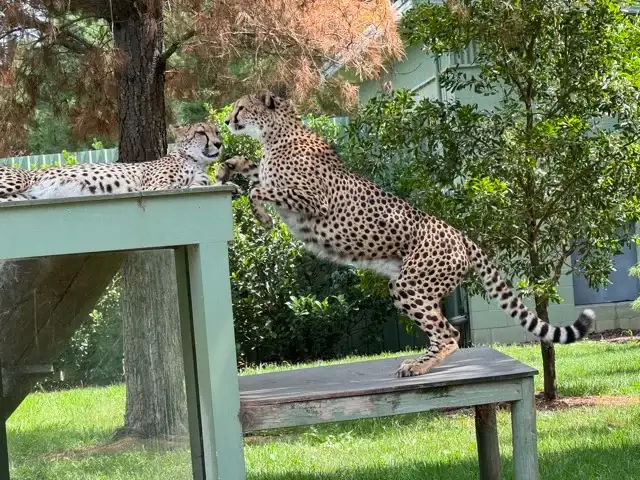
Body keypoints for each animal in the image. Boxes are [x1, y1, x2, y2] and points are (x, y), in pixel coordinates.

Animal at [0, 122, 222, 202]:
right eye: (201, 132)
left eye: (218, 131)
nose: (219, 144)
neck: (194, 161)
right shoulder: (155, 186)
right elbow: (175, 186)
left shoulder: (200, 182)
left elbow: (198, 183)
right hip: (18, 181)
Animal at [224, 90, 595, 378]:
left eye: (240, 108)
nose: (227, 122)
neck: (277, 133)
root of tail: (461, 234)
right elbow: (255, 173)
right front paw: (230, 164)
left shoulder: (314, 201)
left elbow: (259, 190)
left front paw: (262, 218)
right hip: (418, 287)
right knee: (446, 331)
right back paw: (420, 362)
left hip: (409, 285)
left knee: (448, 334)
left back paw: (419, 366)